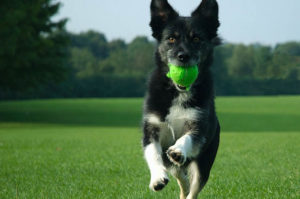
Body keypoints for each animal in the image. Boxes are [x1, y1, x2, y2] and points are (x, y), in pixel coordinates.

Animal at [142, 0, 221, 199]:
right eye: (171, 38)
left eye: (196, 39)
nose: (183, 56)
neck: (178, 92)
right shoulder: (152, 128)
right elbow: (153, 153)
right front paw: (157, 178)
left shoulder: (198, 126)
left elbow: (187, 138)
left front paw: (178, 150)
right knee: (181, 176)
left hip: (204, 164)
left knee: (193, 188)